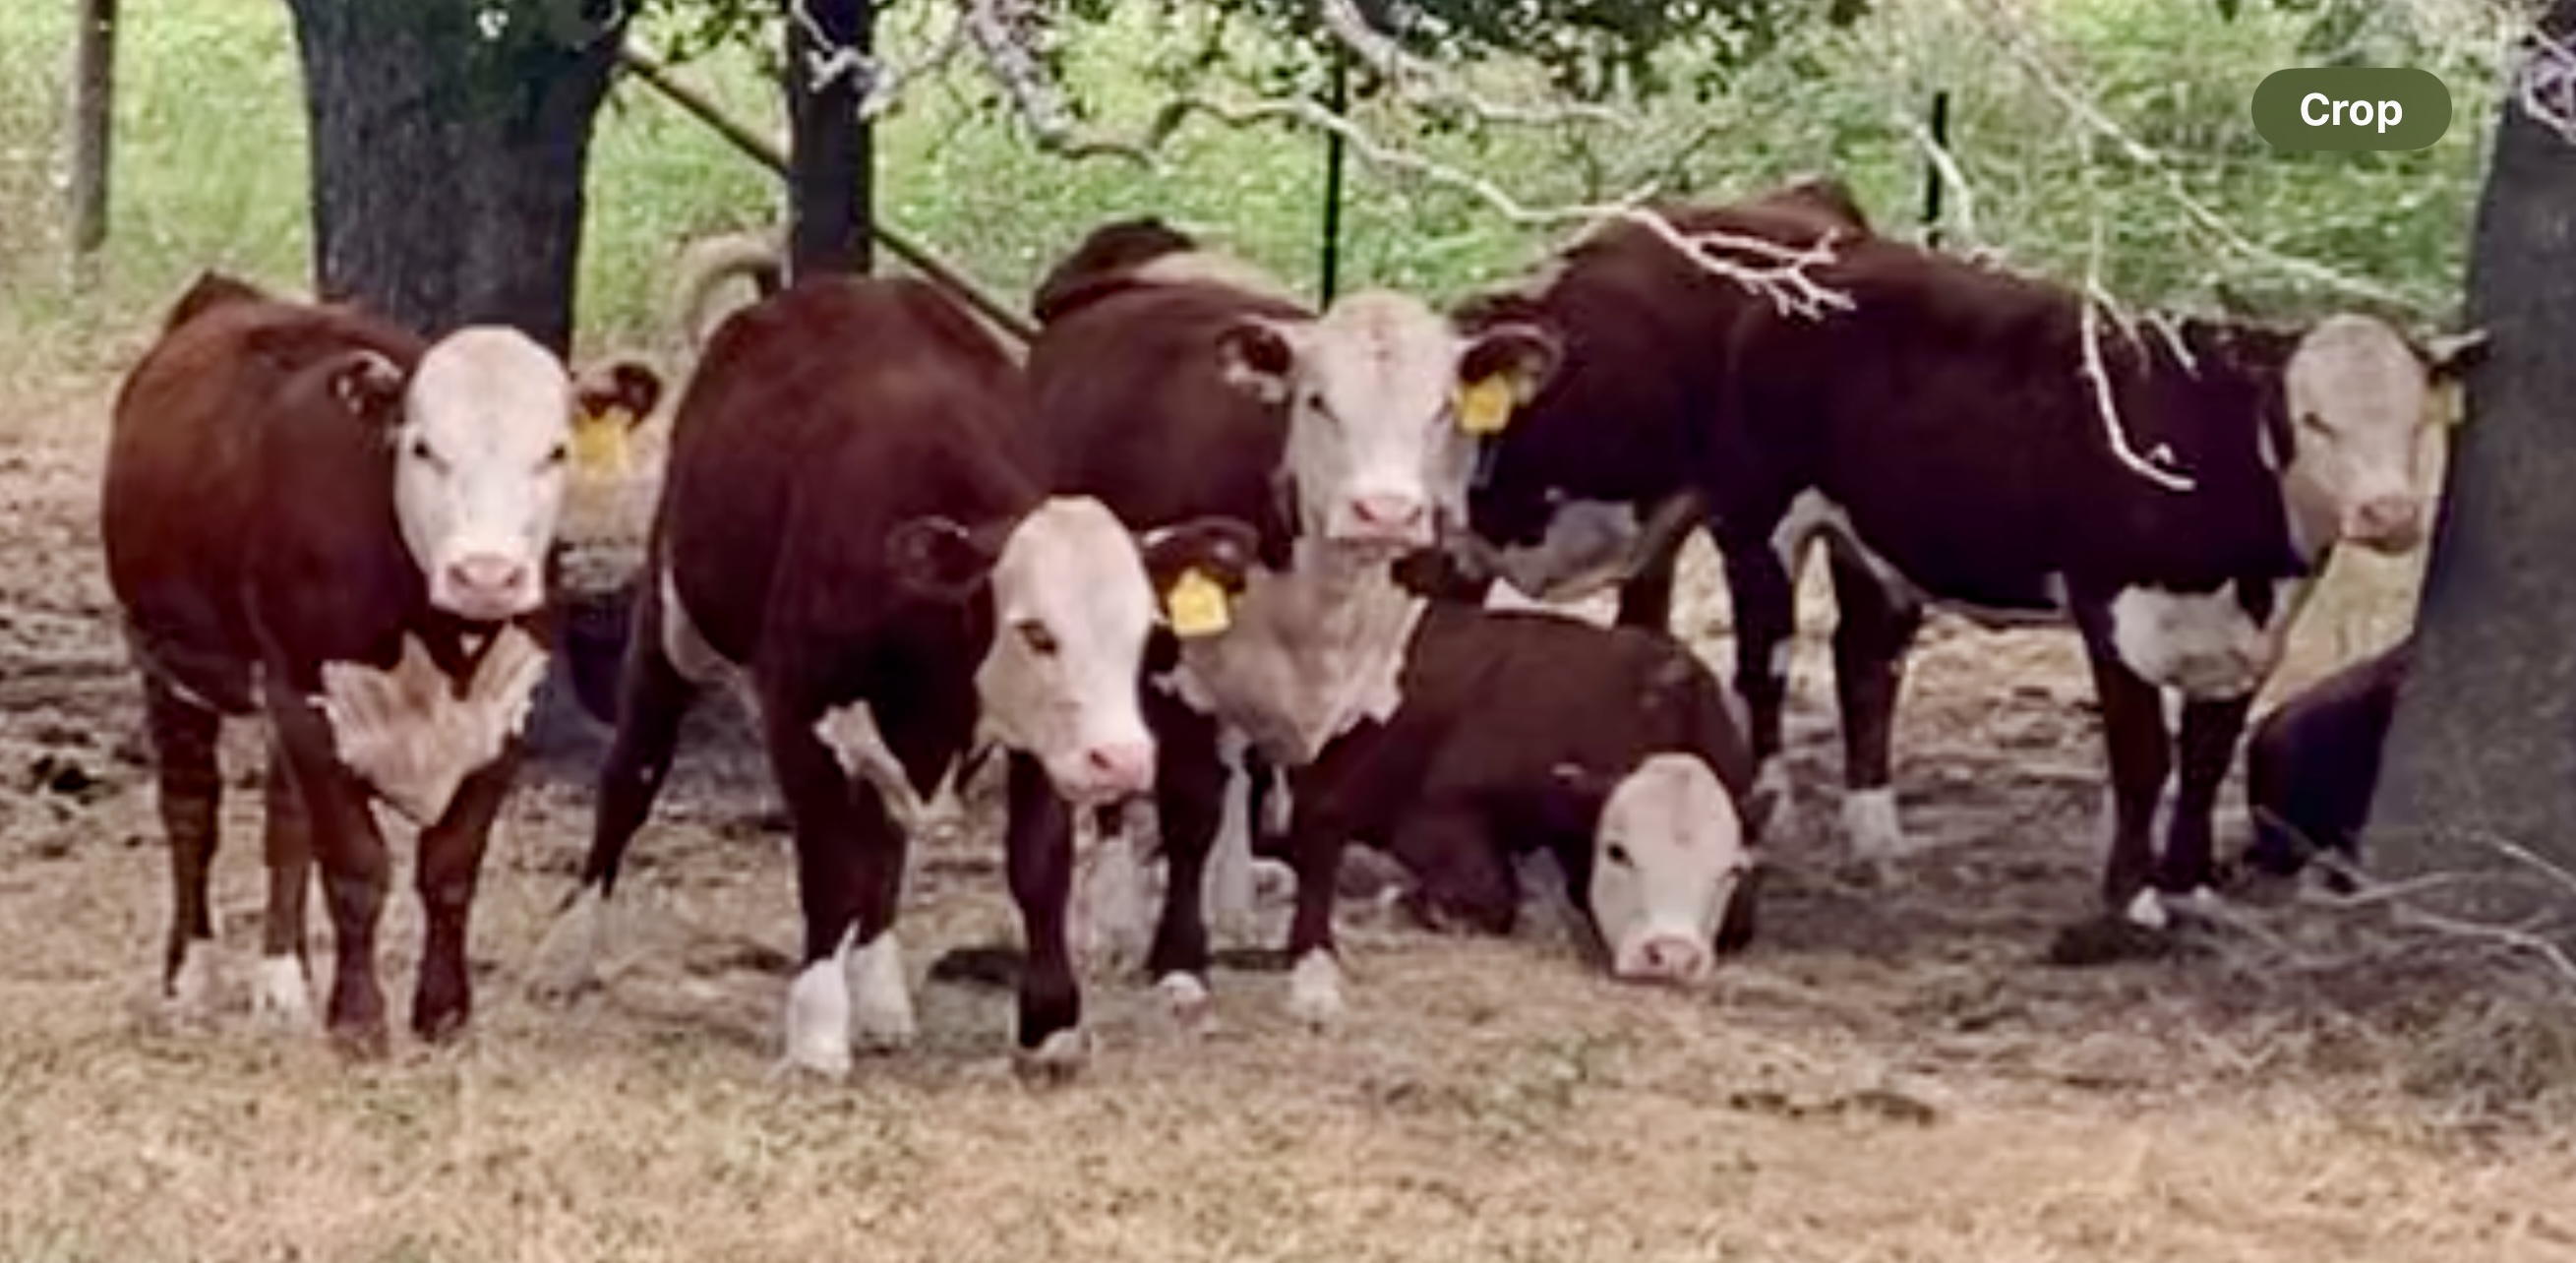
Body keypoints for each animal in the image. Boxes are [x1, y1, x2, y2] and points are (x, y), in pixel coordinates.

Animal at [100, 271, 664, 1052]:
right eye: (423, 448)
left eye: (555, 451)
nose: (485, 575)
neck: (439, 636)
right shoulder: (307, 698)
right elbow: (355, 866)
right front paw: (359, 1024)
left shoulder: (507, 712)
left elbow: (449, 868)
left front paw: (443, 1014)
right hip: (167, 662)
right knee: (192, 815)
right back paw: (190, 979)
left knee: (284, 822)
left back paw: (283, 981)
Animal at [527, 275, 1251, 1077]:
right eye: (1035, 631)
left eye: (1147, 636)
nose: (1121, 759)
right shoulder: (798, 717)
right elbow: (829, 869)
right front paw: (816, 1034)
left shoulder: (1030, 735)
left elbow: (1034, 865)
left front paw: (1050, 1023)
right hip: (671, 624)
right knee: (631, 778)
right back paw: (566, 949)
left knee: (884, 841)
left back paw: (880, 998)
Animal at [1014, 218, 1555, 1046]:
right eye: (1318, 400)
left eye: (1441, 409)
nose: (1385, 511)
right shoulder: (1178, 673)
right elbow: (1189, 812)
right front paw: (1180, 966)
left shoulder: (1376, 684)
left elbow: (1322, 818)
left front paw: (1311, 969)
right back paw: (1112, 918)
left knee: (1243, 766)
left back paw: (1233, 901)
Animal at [1257, 603, 1762, 984]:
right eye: (1618, 852)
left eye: (1731, 870)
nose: (1671, 955)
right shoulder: (1431, 817)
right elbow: (1493, 894)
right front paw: (1407, 902)